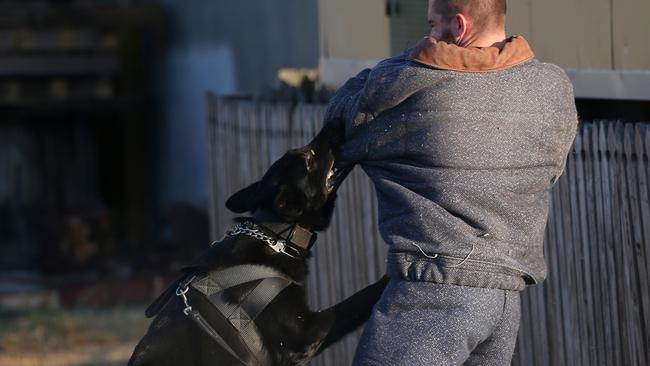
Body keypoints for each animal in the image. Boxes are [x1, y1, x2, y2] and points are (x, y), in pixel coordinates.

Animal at [129, 124, 388, 364]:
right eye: (308, 159)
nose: (334, 123)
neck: (275, 234)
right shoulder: (307, 332)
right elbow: (358, 300)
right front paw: (387, 277)